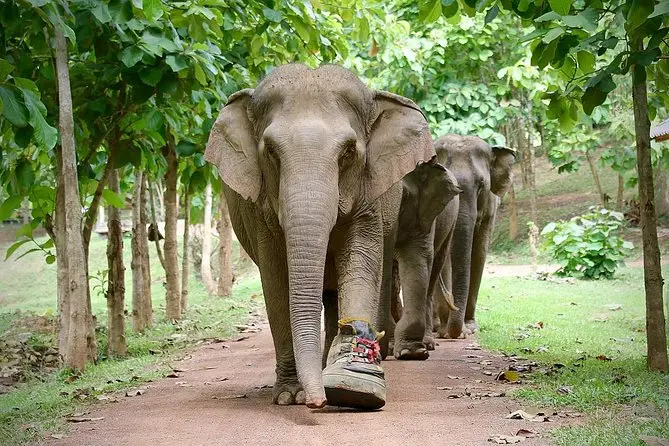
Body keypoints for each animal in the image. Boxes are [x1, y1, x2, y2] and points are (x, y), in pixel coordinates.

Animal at [204, 63, 436, 410]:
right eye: (270, 152)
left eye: (349, 151)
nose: (317, 403)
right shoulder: (260, 212)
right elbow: (276, 280)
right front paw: (289, 395)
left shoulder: (370, 195)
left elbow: (361, 263)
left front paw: (356, 386)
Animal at [431, 134, 516, 339]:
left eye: (482, 186)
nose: (459, 333)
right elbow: (445, 258)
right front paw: (448, 331)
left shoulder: (490, 209)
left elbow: (479, 253)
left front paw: (469, 328)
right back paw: (435, 327)